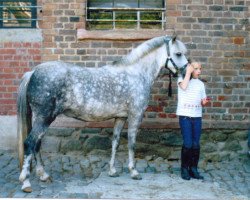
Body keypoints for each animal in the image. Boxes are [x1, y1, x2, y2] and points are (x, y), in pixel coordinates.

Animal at [17, 34, 188, 192]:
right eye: (178, 53)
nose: (187, 73)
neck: (136, 74)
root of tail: (33, 72)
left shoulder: (120, 117)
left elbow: (115, 142)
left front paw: (112, 171)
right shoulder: (135, 115)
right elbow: (132, 143)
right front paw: (134, 172)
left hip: (41, 119)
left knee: (37, 144)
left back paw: (44, 175)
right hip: (44, 118)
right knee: (29, 143)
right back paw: (26, 182)